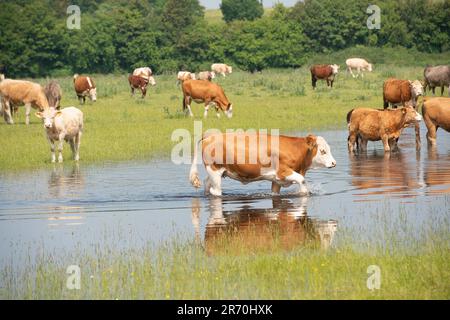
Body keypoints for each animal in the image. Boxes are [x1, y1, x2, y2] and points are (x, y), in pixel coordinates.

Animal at [188, 131, 336, 196]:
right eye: (323, 151)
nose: (334, 163)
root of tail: (211, 135)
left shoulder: (276, 180)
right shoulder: (282, 172)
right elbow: (302, 179)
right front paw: (304, 193)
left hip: (216, 172)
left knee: (207, 184)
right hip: (214, 171)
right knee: (215, 191)